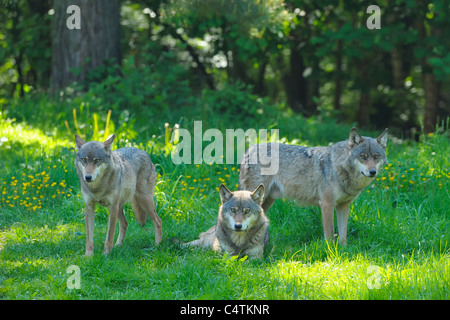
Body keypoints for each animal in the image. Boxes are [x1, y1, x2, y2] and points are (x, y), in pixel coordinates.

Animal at [237, 127, 388, 245]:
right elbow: (330, 234)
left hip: (267, 201)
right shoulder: (327, 204)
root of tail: (249, 149)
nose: (372, 172)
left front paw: (344, 250)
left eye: (376, 156)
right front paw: (331, 253)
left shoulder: (344, 206)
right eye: (363, 156)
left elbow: (343, 234)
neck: (339, 167)